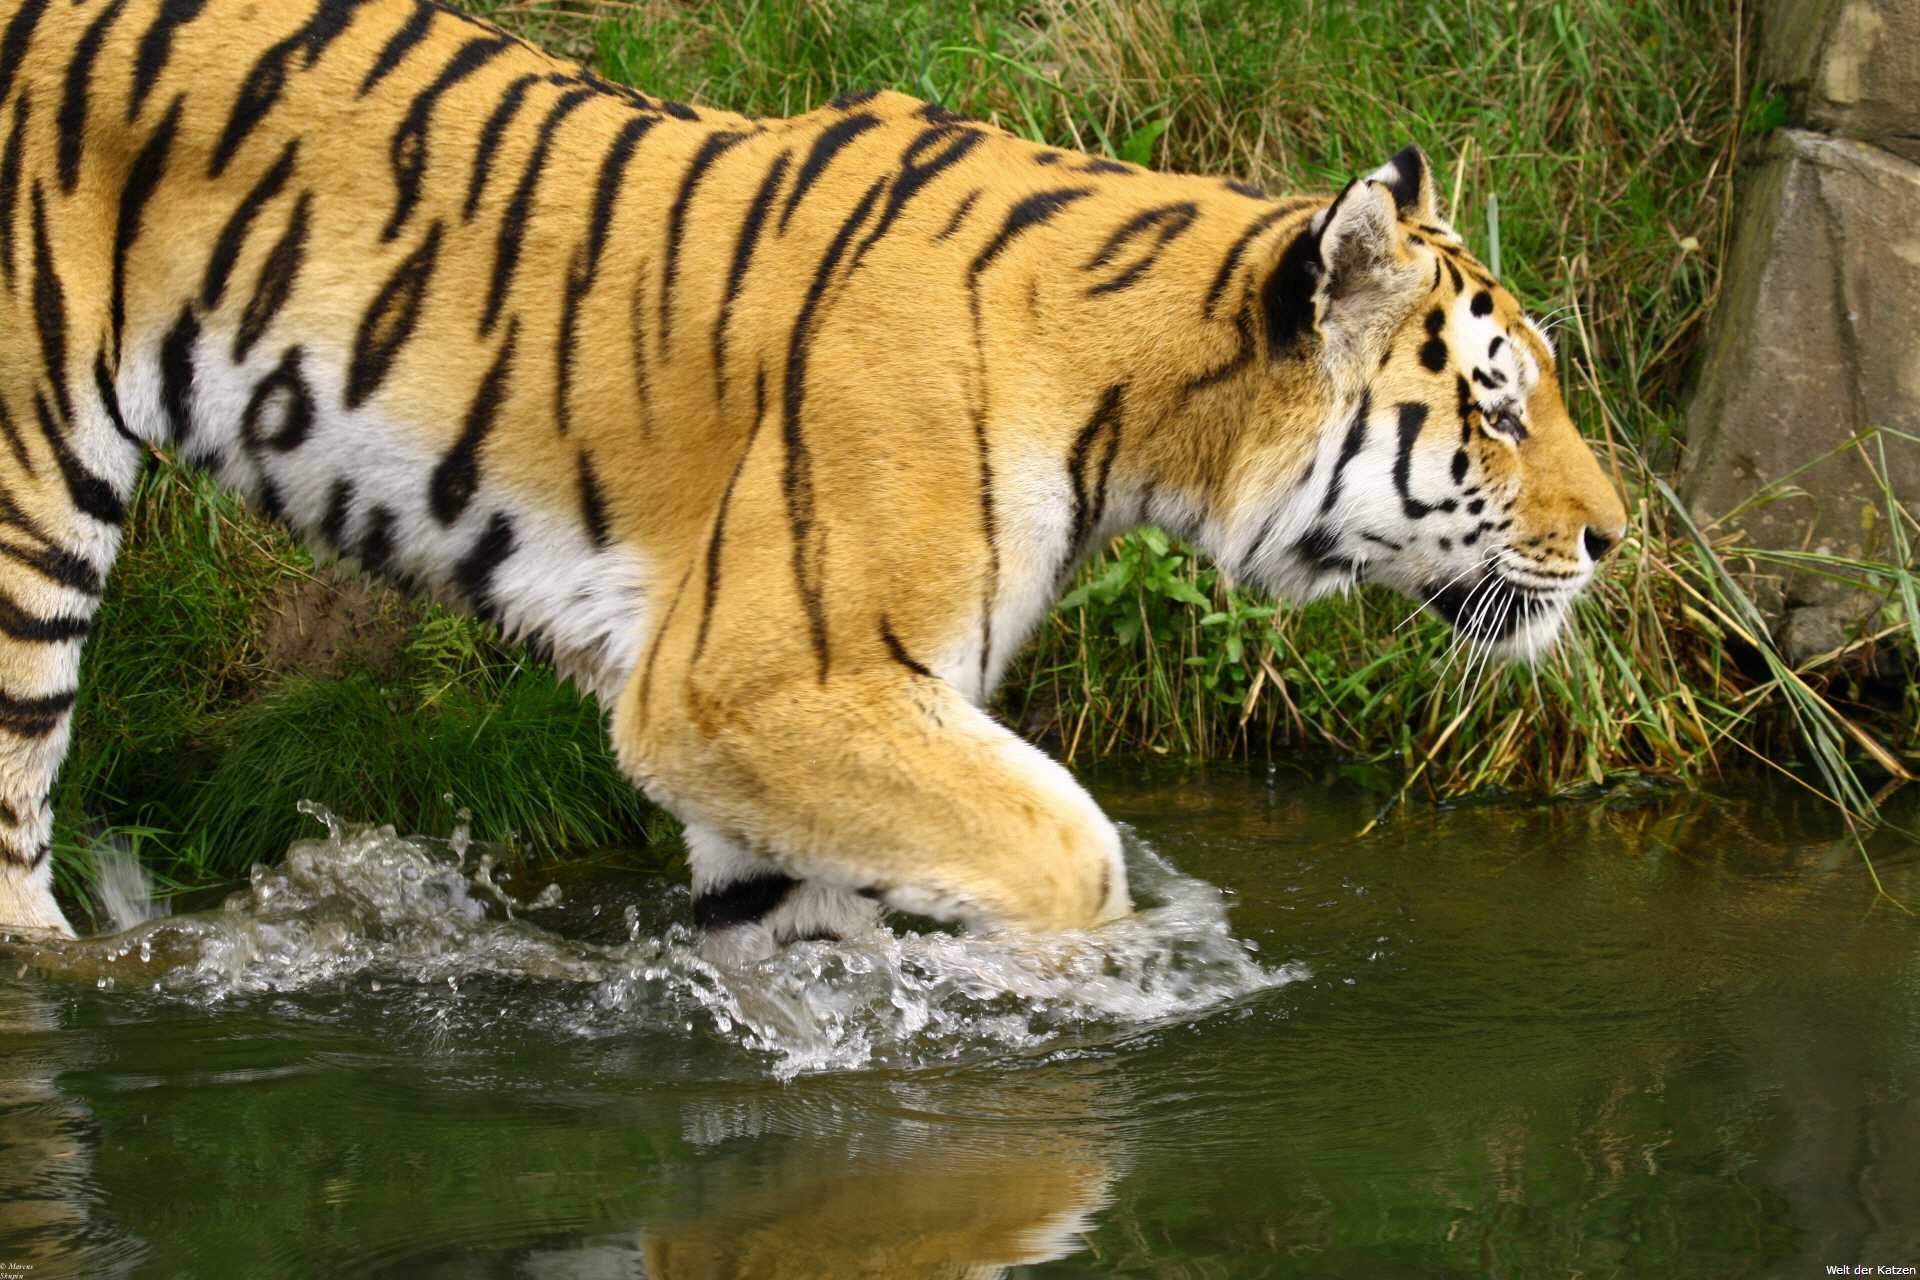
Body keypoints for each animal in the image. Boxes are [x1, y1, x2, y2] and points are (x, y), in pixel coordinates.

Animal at [0, 0, 1627, 956]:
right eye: (1496, 405)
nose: (1617, 540)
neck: (1135, 412)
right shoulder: (759, 679)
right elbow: (1071, 849)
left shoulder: (776, 760)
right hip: (33, 519)